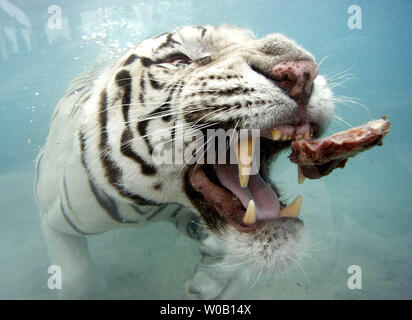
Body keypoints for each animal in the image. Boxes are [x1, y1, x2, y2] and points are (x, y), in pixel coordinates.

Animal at [33, 25, 334, 300]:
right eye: (178, 61)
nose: (302, 72)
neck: (156, 204)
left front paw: (211, 279)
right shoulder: (55, 219)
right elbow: (75, 279)